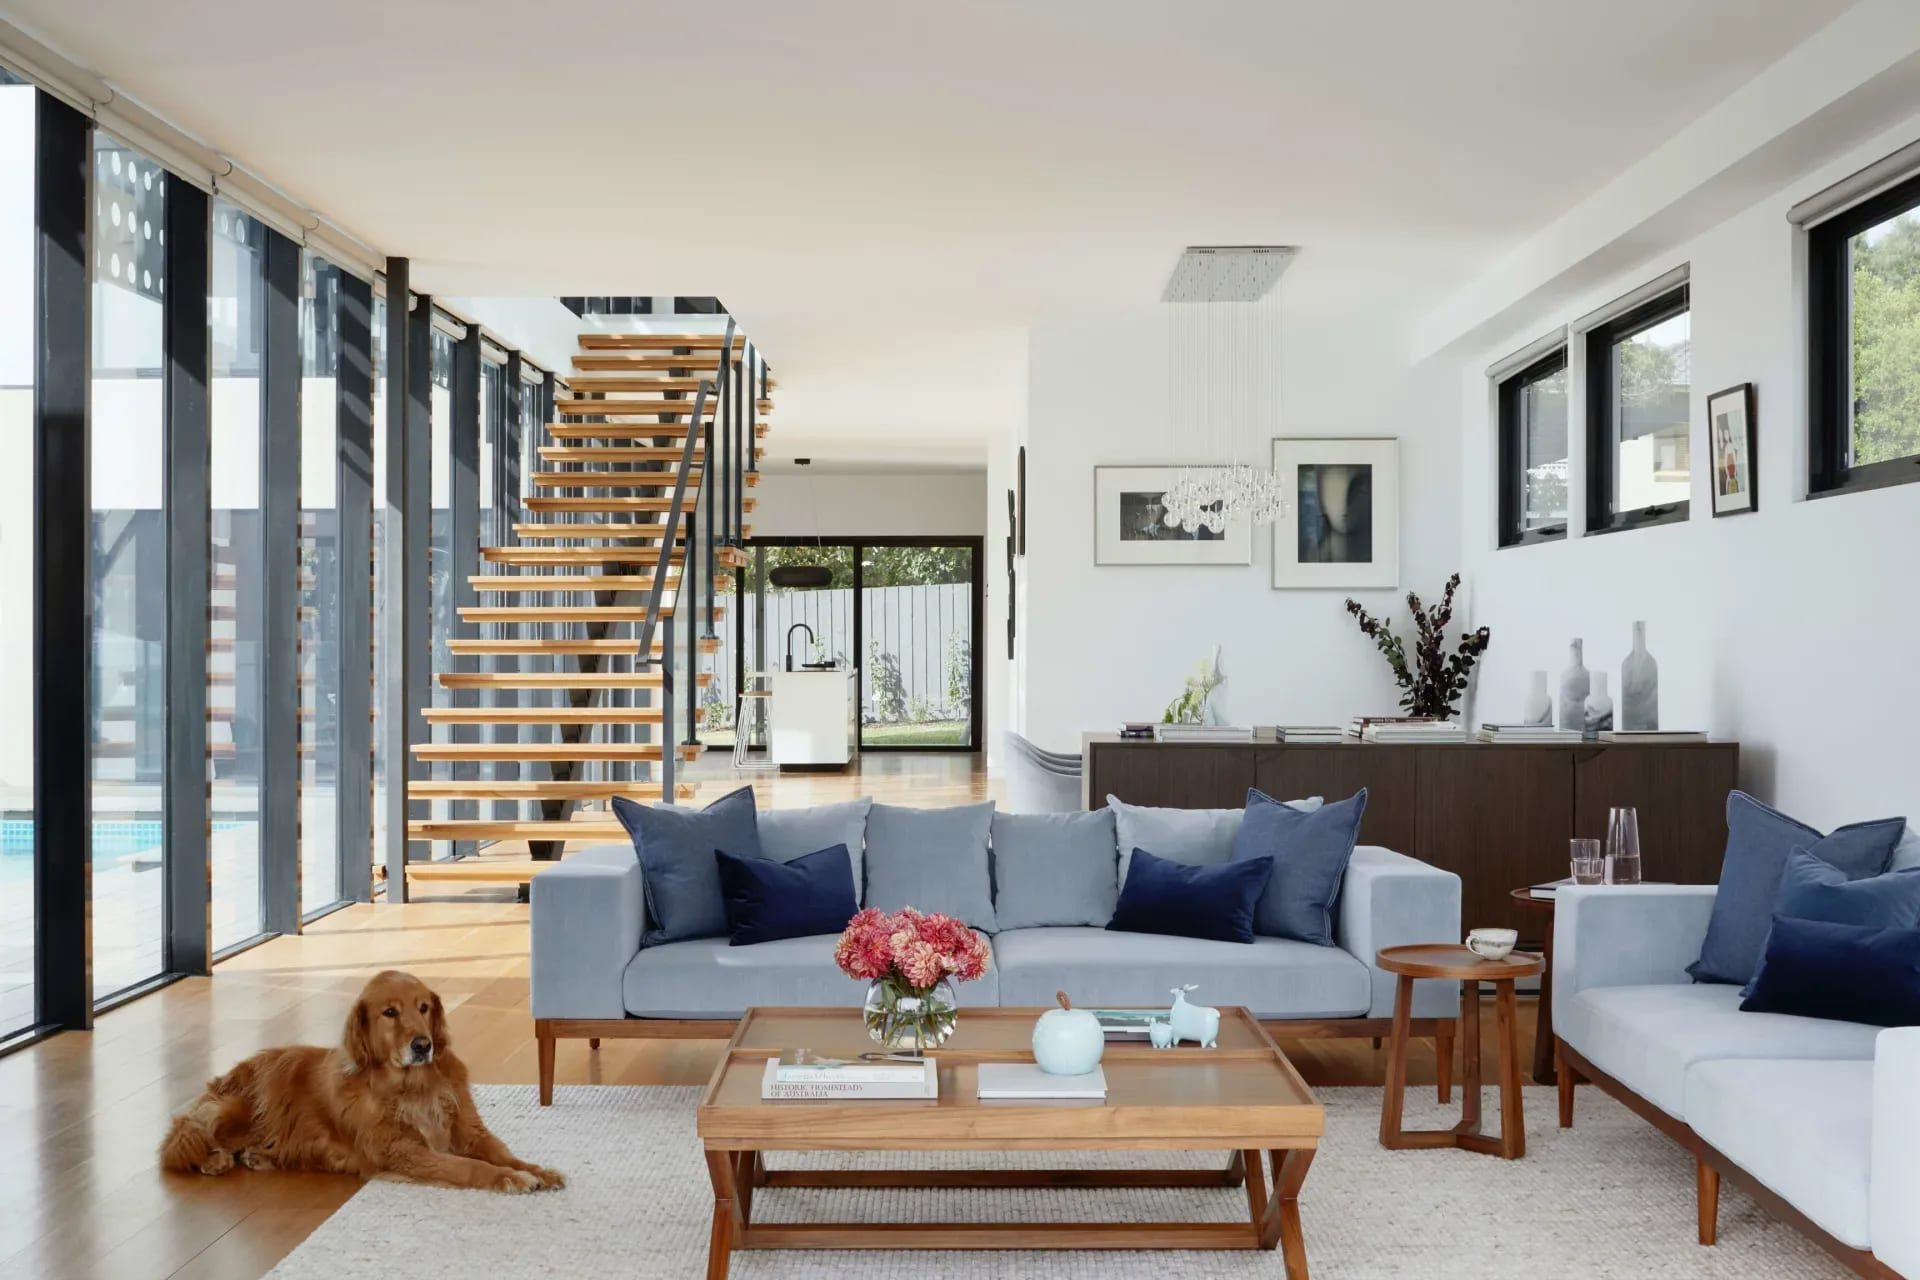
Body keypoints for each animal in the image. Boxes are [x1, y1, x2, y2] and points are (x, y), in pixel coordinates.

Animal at [159, 974, 560, 1197]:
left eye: (424, 1007)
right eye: (390, 1012)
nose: (423, 1045)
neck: (413, 1086)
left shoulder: (469, 1131)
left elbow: (503, 1153)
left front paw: (538, 1170)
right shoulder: (402, 1150)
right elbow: (467, 1167)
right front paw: (510, 1179)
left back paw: (258, 1156)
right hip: (233, 1110)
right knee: (180, 1144)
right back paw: (215, 1159)